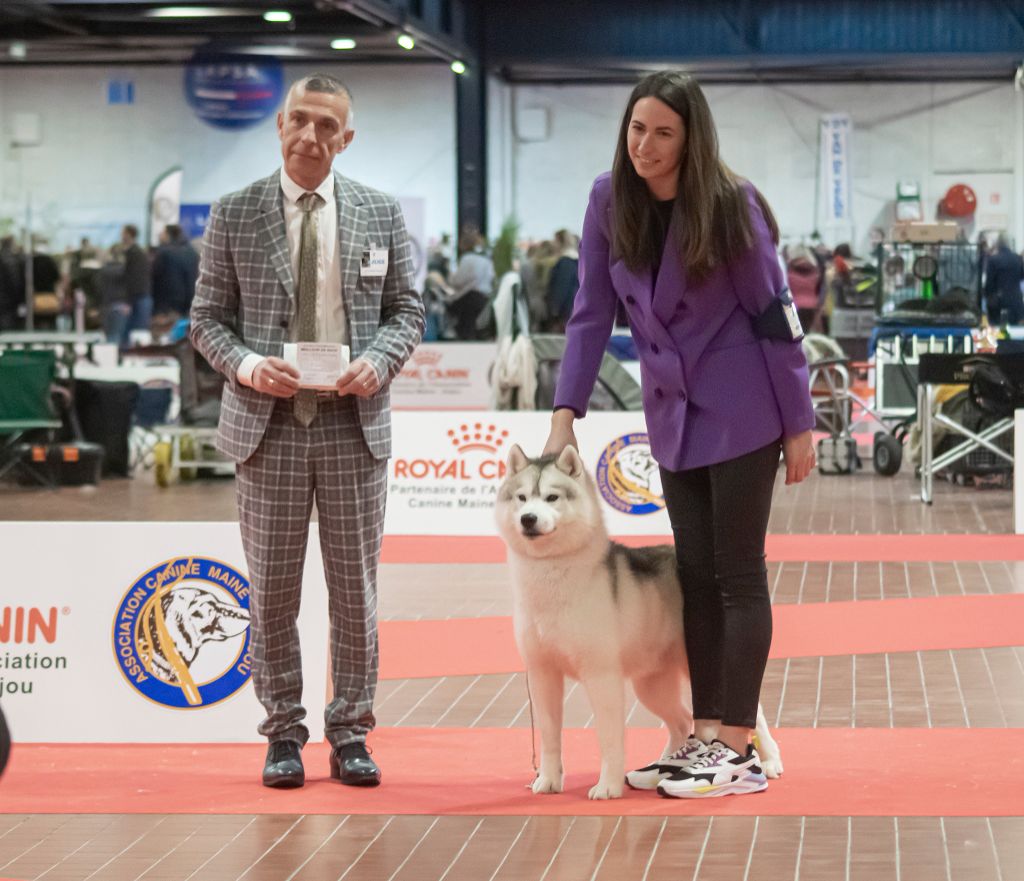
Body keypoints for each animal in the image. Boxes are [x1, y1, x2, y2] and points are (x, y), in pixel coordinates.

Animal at [497, 446, 782, 799]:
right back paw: (665, 766)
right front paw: (548, 779)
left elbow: (608, 738)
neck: (550, 574)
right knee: (682, 720)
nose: (528, 519)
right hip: (651, 684)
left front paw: (607, 785)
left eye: (551, 497)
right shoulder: (542, 672)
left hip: (706, 665)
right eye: (522, 498)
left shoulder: (601, 676)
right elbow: (550, 735)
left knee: (752, 713)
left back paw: (768, 761)